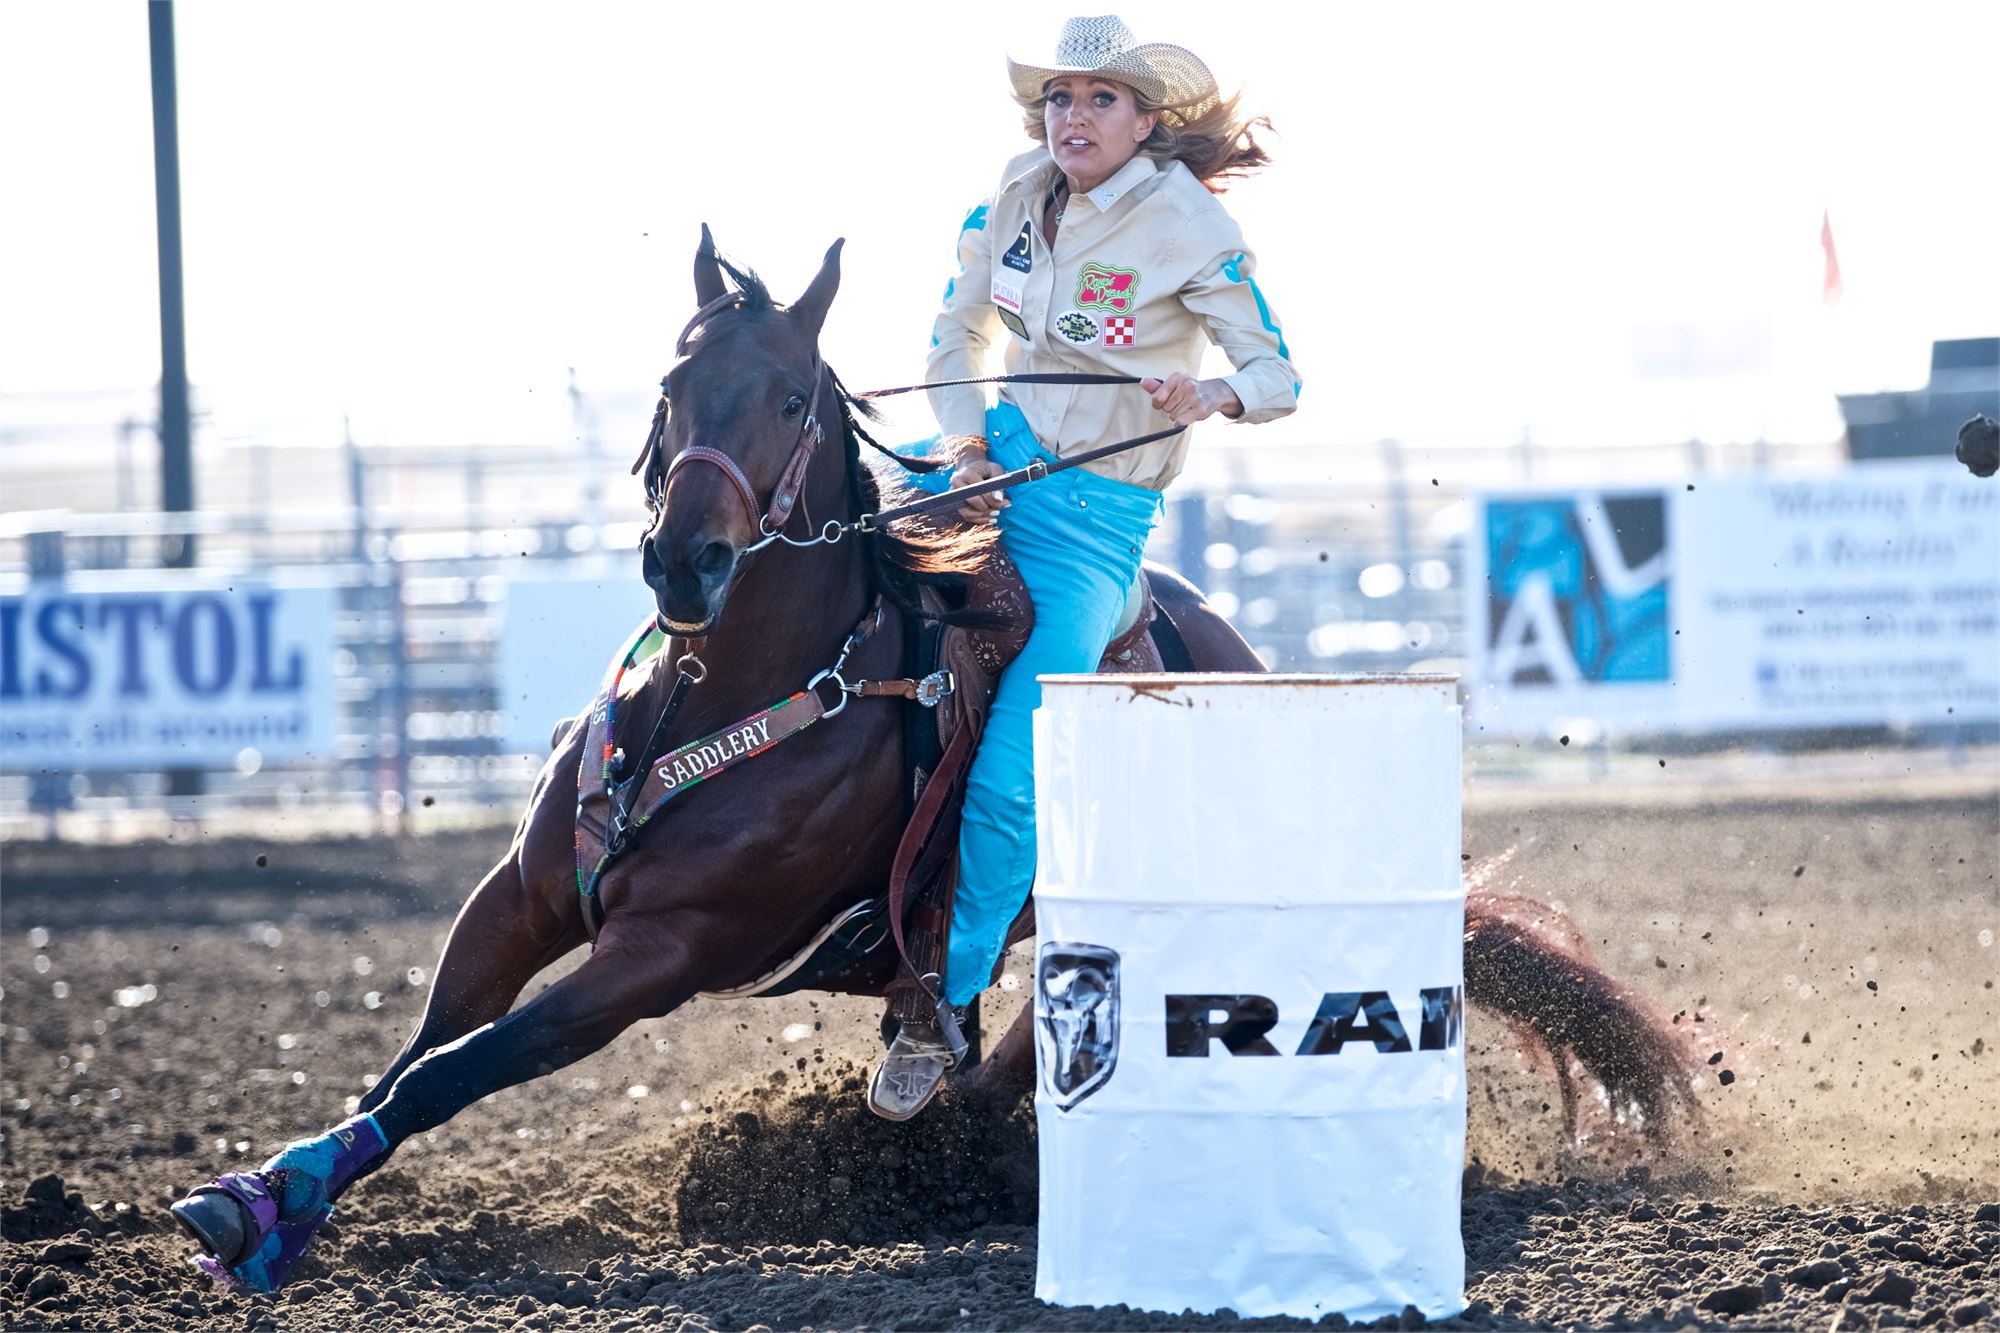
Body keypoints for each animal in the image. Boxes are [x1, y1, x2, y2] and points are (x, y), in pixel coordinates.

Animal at [172, 231, 1696, 1288]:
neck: (735, 690)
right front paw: (263, 1201)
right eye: (674, 382)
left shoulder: (657, 955)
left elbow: (463, 1066)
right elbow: (415, 1054)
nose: (685, 559)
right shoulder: (521, 901)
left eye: (795, 396)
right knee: (1005, 1038)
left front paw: (266, 1204)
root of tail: (1248, 664)